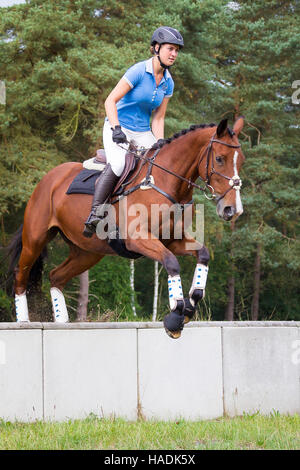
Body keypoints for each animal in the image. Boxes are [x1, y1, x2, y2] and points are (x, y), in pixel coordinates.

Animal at [8, 117, 245, 338]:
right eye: (219, 159)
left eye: (241, 161)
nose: (232, 209)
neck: (165, 182)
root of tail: (49, 178)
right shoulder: (137, 239)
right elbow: (171, 262)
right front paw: (176, 315)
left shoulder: (172, 240)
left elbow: (203, 254)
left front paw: (191, 302)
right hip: (36, 238)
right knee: (21, 273)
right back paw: (24, 321)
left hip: (86, 252)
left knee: (56, 276)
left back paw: (61, 321)